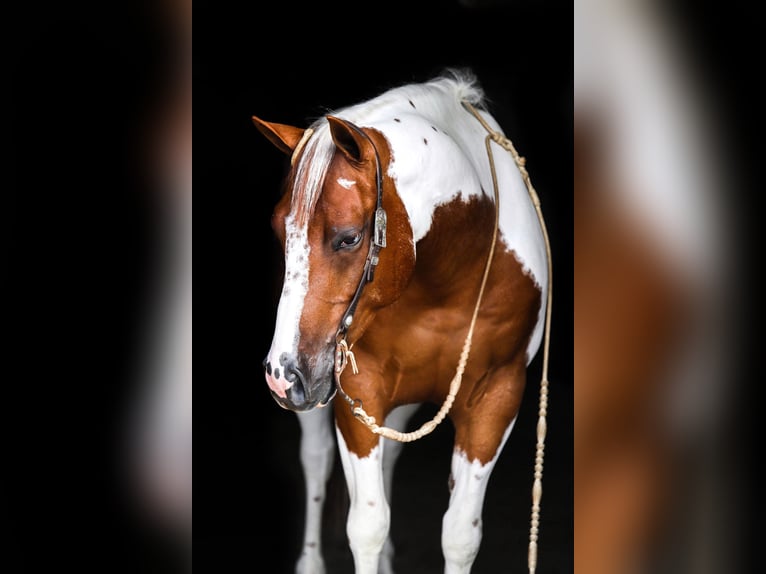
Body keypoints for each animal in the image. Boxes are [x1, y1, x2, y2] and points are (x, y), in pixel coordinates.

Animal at [256, 71, 552, 574]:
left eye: (348, 238)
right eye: (280, 232)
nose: (282, 375)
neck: (450, 273)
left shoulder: (497, 395)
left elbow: (460, 535)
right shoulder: (359, 392)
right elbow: (367, 527)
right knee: (315, 460)